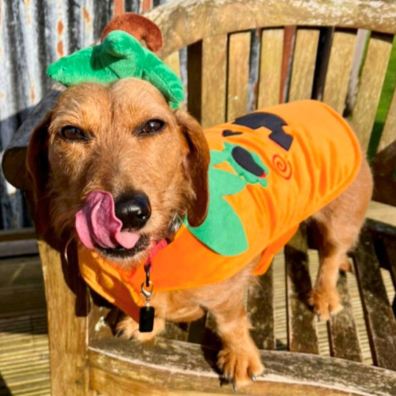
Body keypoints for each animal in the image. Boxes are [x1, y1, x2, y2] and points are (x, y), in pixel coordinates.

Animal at [26, 76, 372, 386]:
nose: (129, 212)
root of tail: (326, 108)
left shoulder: (228, 294)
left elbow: (231, 323)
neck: (160, 248)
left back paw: (325, 293)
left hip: (340, 216)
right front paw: (145, 324)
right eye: (71, 132)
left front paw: (240, 356)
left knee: (330, 255)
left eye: (153, 125)